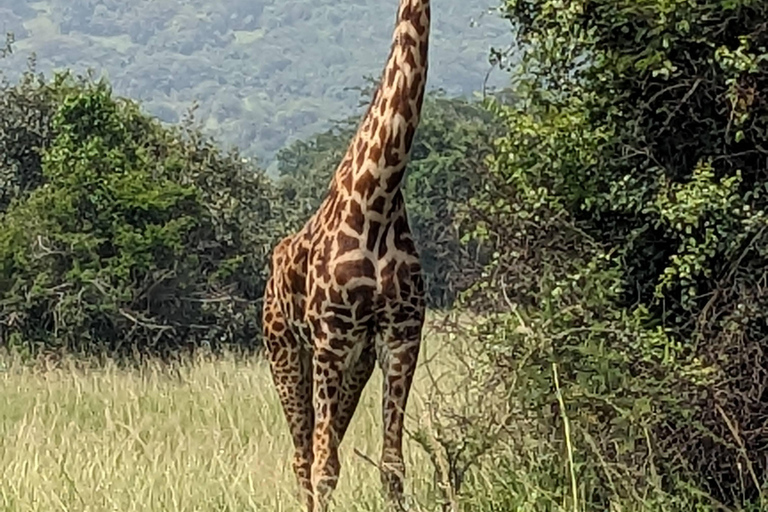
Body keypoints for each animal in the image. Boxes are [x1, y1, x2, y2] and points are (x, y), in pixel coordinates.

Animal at [262, 0, 432, 510]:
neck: (379, 197)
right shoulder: (330, 338)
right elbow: (325, 469)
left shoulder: (400, 334)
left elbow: (392, 466)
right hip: (285, 349)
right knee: (304, 456)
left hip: (357, 361)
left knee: (325, 439)